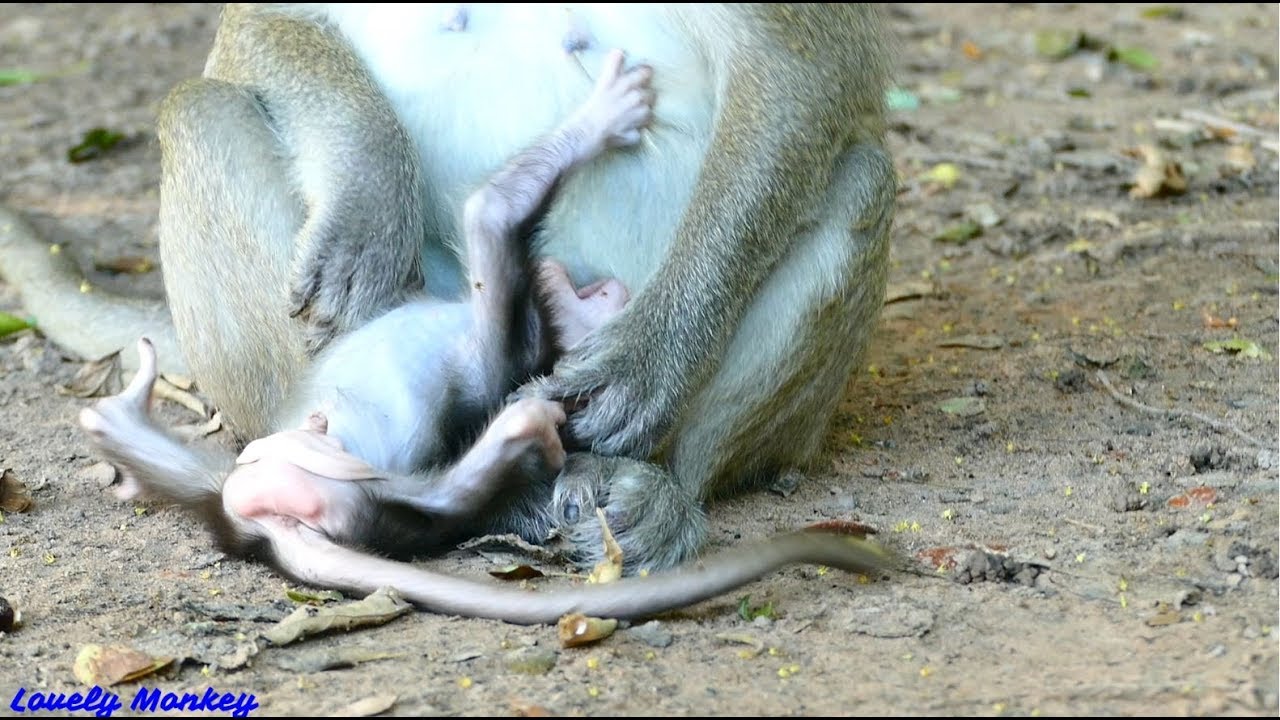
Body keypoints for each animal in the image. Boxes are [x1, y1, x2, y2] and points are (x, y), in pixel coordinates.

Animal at [1, 4, 897, 573]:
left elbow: (803, 72)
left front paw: (649, 358)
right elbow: (262, 28)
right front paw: (369, 192)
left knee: (860, 176)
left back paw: (649, 492)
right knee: (203, 107)